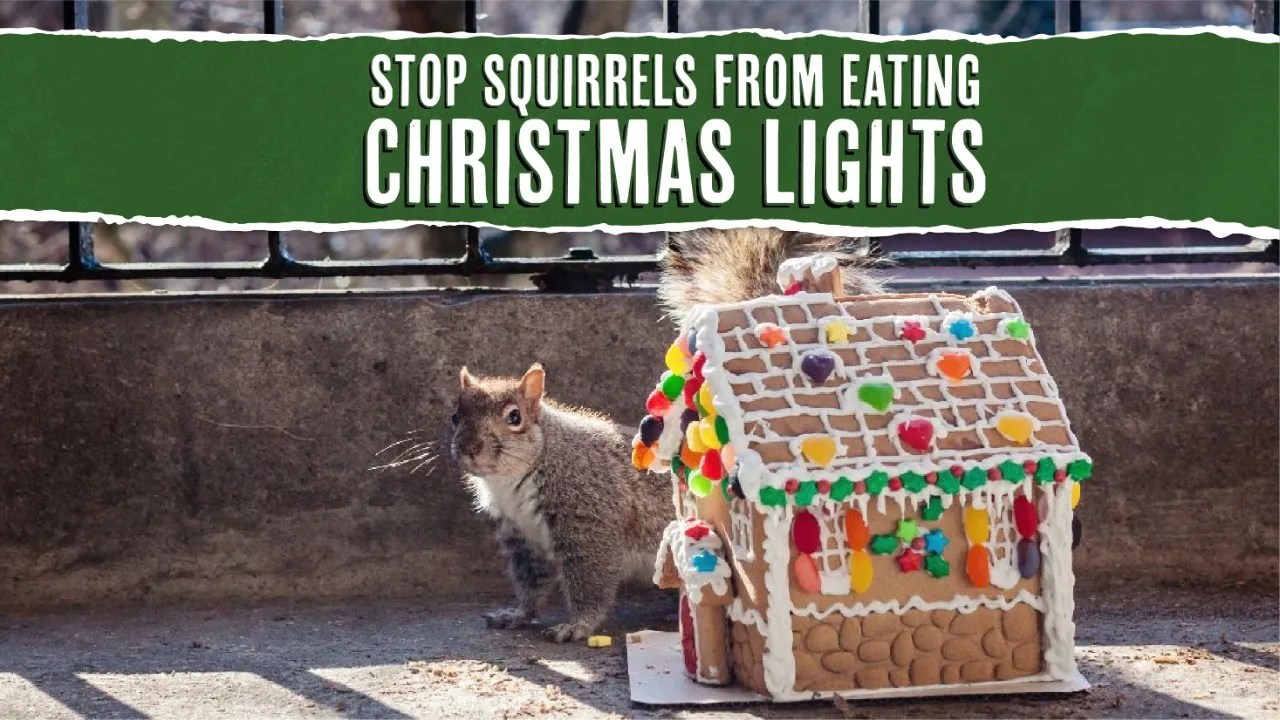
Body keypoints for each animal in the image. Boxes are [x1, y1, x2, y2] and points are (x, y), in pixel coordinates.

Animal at [451, 228, 881, 643]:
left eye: (514, 417)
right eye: (455, 415)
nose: (469, 449)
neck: (520, 474)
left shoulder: (588, 515)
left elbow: (591, 579)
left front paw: (577, 626)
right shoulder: (520, 537)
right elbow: (531, 586)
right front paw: (515, 615)